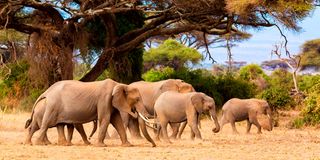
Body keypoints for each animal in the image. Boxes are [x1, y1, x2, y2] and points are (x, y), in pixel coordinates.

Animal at [24, 79, 156, 148]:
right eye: (137, 99)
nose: (154, 145)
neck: (119, 84)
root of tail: (47, 91)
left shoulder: (111, 102)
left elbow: (116, 121)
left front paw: (128, 145)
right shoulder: (104, 99)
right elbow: (105, 119)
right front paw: (101, 146)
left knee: (59, 124)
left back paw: (64, 144)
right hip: (52, 106)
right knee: (45, 124)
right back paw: (37, 144)